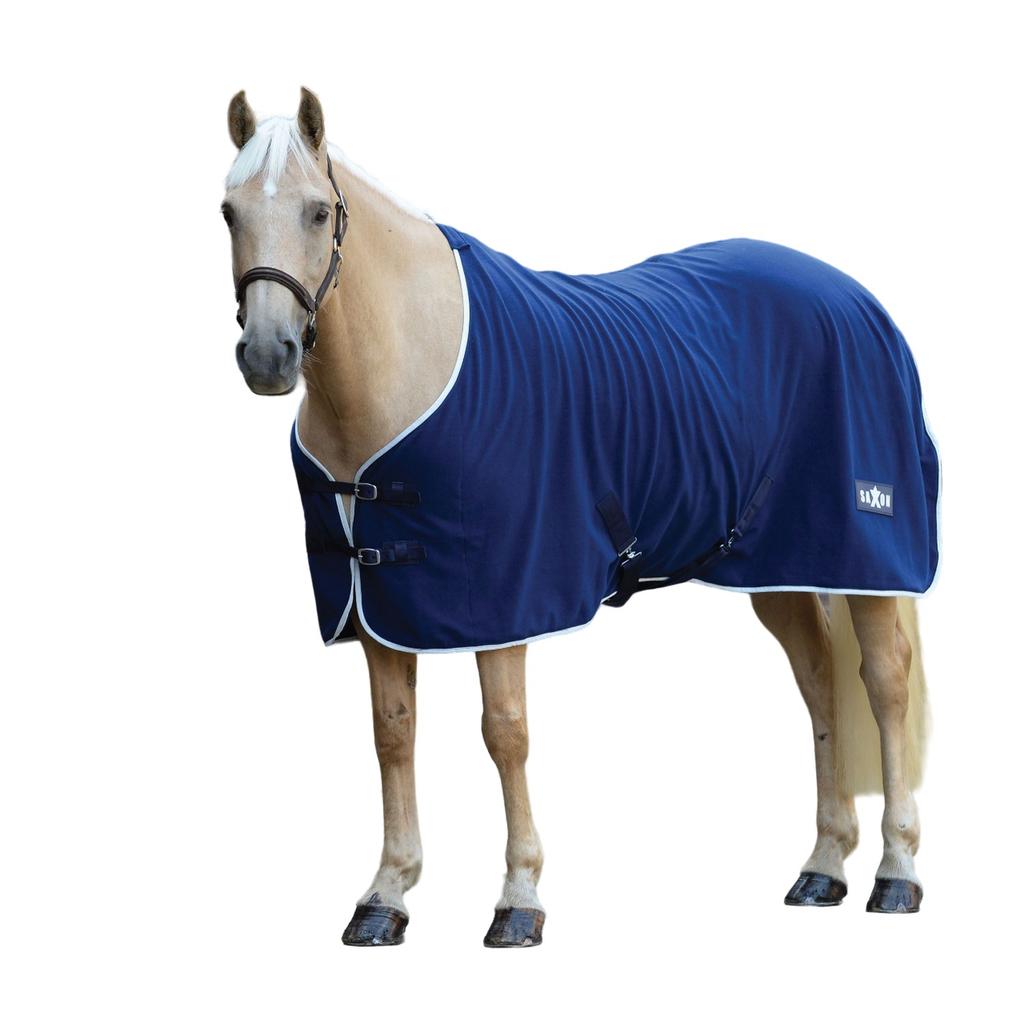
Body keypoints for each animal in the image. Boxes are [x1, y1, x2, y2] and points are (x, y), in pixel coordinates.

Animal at [221, 88, 937, 946]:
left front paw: (519, 898)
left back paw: (896, 874)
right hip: (781, 566)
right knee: (820, 681)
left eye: (319, 211)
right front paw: (386, 896)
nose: (269, 355)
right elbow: (392, 732)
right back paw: (823, 867)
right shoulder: (379, 604)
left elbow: (505, 733)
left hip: (865, 556)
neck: (414, 364)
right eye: (228, 211)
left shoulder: (502, 597)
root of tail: (859, 300)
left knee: (884, 683)